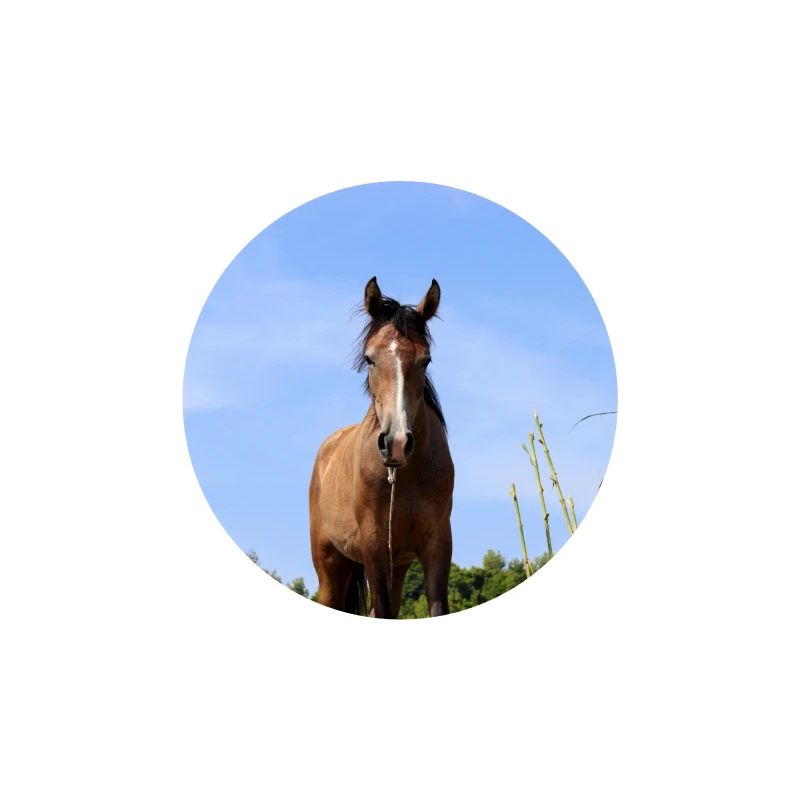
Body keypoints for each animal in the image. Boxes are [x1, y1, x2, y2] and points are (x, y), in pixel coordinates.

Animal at [309, 276, 454, 618]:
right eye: (369, 358)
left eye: (425, 360)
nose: (396, 442)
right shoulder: (373, 543)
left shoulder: (438, 543)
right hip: (331, 566)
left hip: (397, 564)